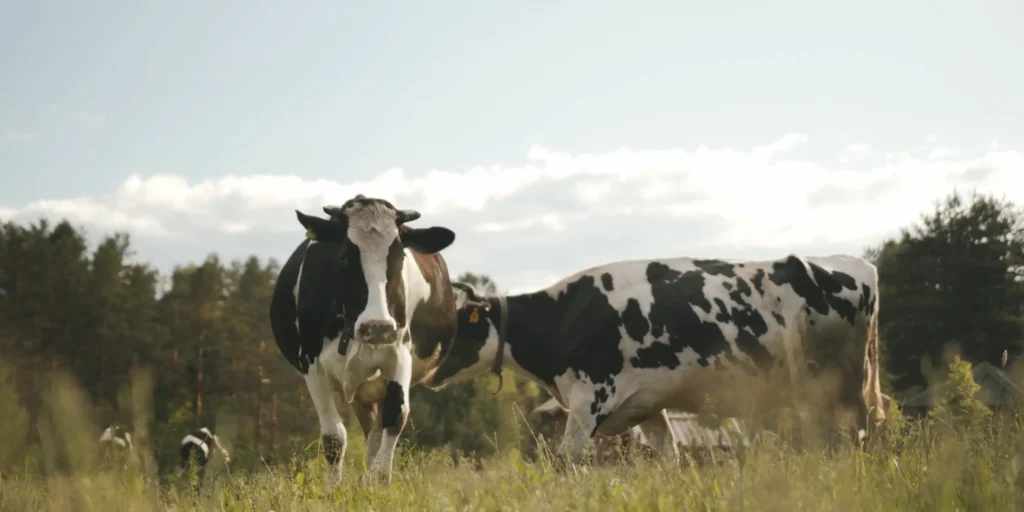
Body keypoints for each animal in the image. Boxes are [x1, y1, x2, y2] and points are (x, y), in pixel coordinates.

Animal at [269, 194, 458, 484]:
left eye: (399, 256)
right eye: (344, 257)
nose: (377, 327)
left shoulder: (399, 353)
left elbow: (395, 417)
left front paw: (379, 483)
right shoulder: (311, 363)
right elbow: (333, 437)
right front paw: (333, 490)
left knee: (376, 433)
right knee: (370, 433)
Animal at [430, 254, 886, 469]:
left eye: (459, 323)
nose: (428, 369)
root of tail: (858, 263)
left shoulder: (589, 398)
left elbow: (566, 463)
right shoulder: (647, 406)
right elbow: (671, 459)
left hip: (841, 386)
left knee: (853, 439)